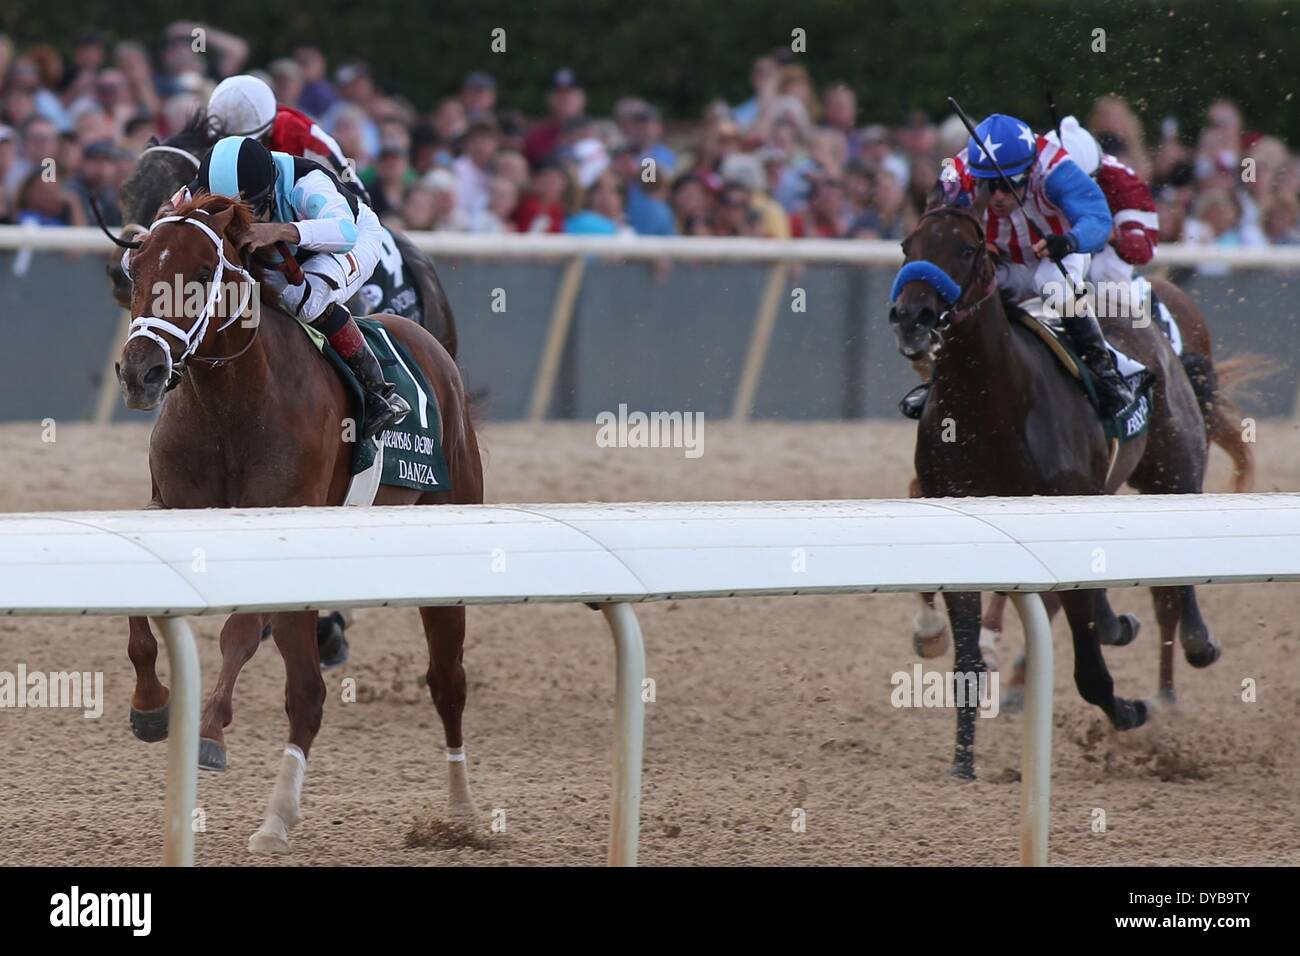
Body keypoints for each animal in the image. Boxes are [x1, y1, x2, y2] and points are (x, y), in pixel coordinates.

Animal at [115, 192, 483, 853]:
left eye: (202, 272)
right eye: (136, 271)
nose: (142, 372)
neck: (230, 406)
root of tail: (429, 342)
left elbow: (238, 634)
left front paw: (209, 731)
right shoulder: (171, 509)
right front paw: (152, 705)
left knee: (447, 681)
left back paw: (461, 814)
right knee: (308, 694)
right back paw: (276, 820)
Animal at [889, 205, 1211, 780]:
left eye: (966, 249)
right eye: (908, 246)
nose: (912, 316)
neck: (990, 411)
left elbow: (1088, 668)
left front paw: (1129, 709)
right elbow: (968, 661)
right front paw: (962, 762)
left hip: (1174, 466)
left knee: (1178, 569)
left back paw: (1195, 642)